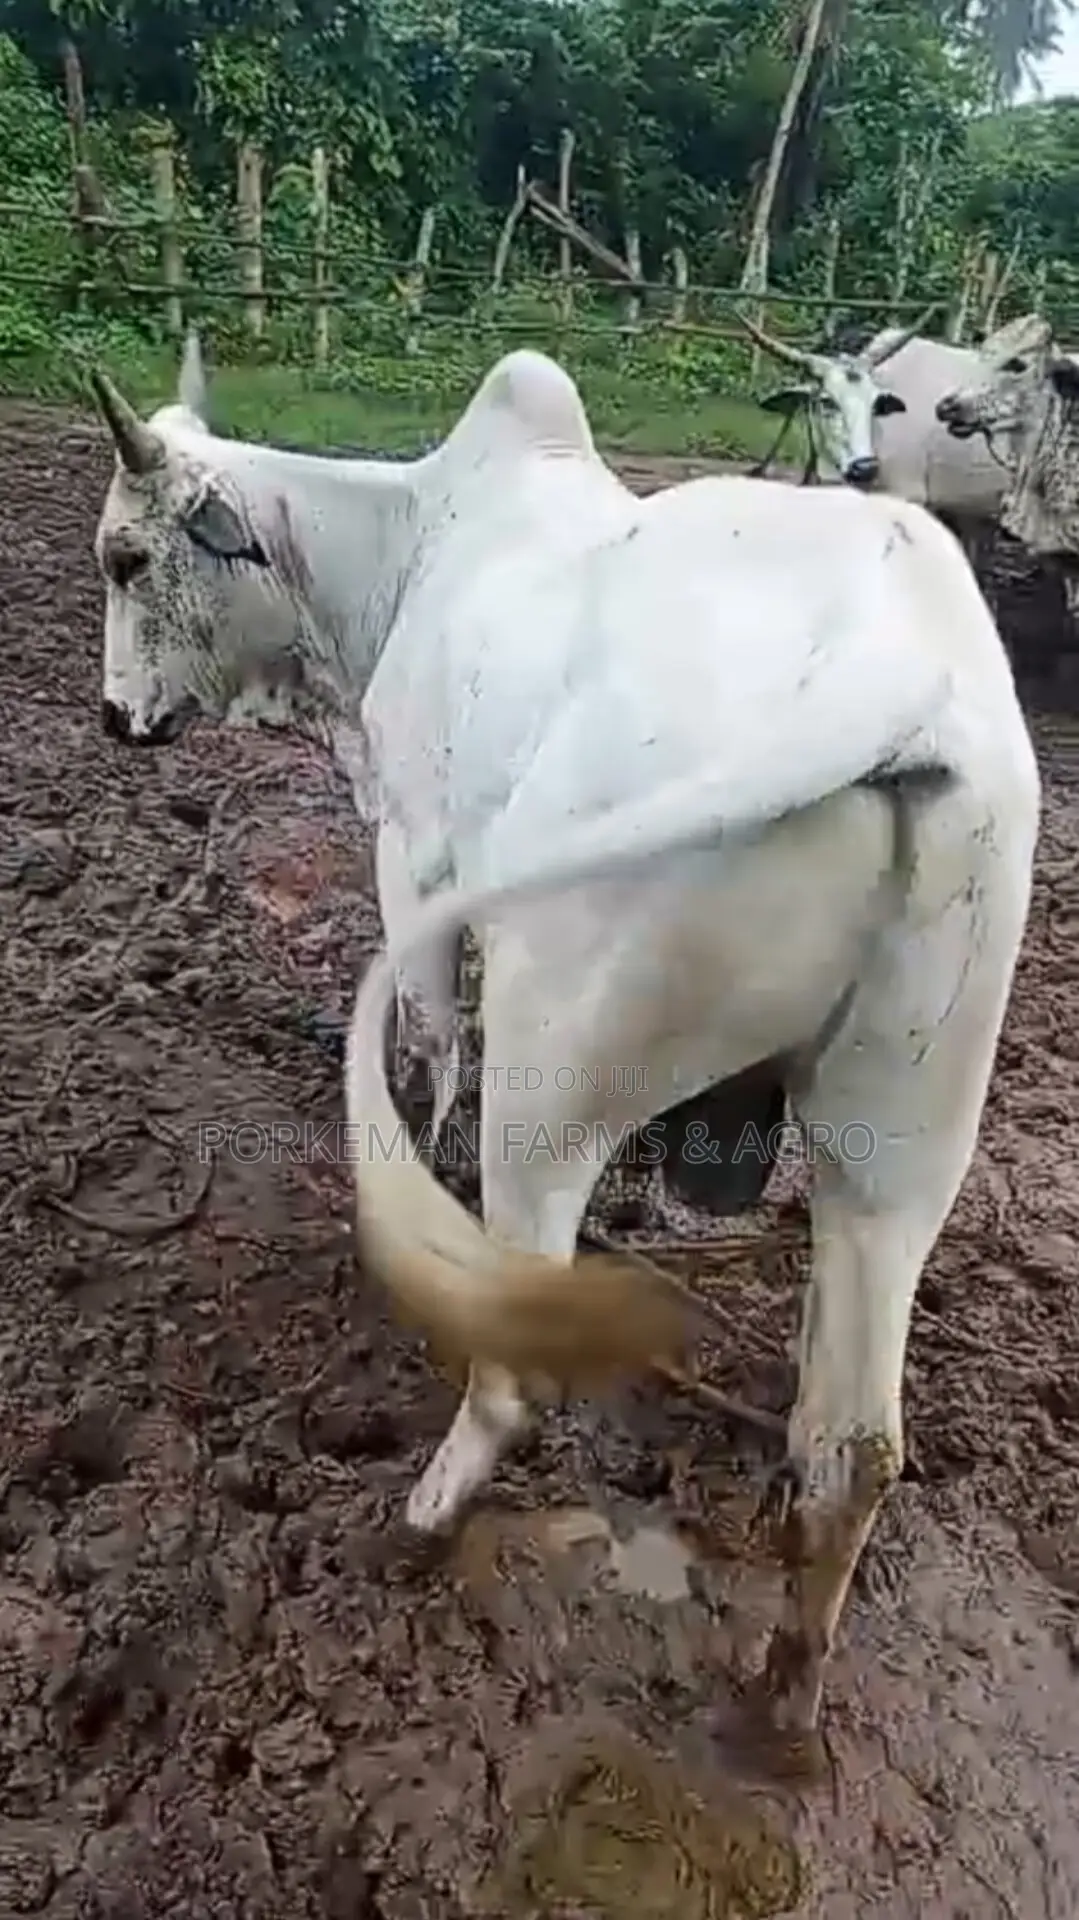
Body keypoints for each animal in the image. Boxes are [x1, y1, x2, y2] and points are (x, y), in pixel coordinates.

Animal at [91, 338, 1040, 1740]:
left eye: (126, 557)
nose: (116, 717)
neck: (408, 547)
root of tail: (906, 686)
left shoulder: (412, 858)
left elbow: (431, 1049)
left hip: (552, 1080)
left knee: (519, 1357)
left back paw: (418, 1519)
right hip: (902, 1141)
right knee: (851, 1448)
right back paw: (780, 1709)